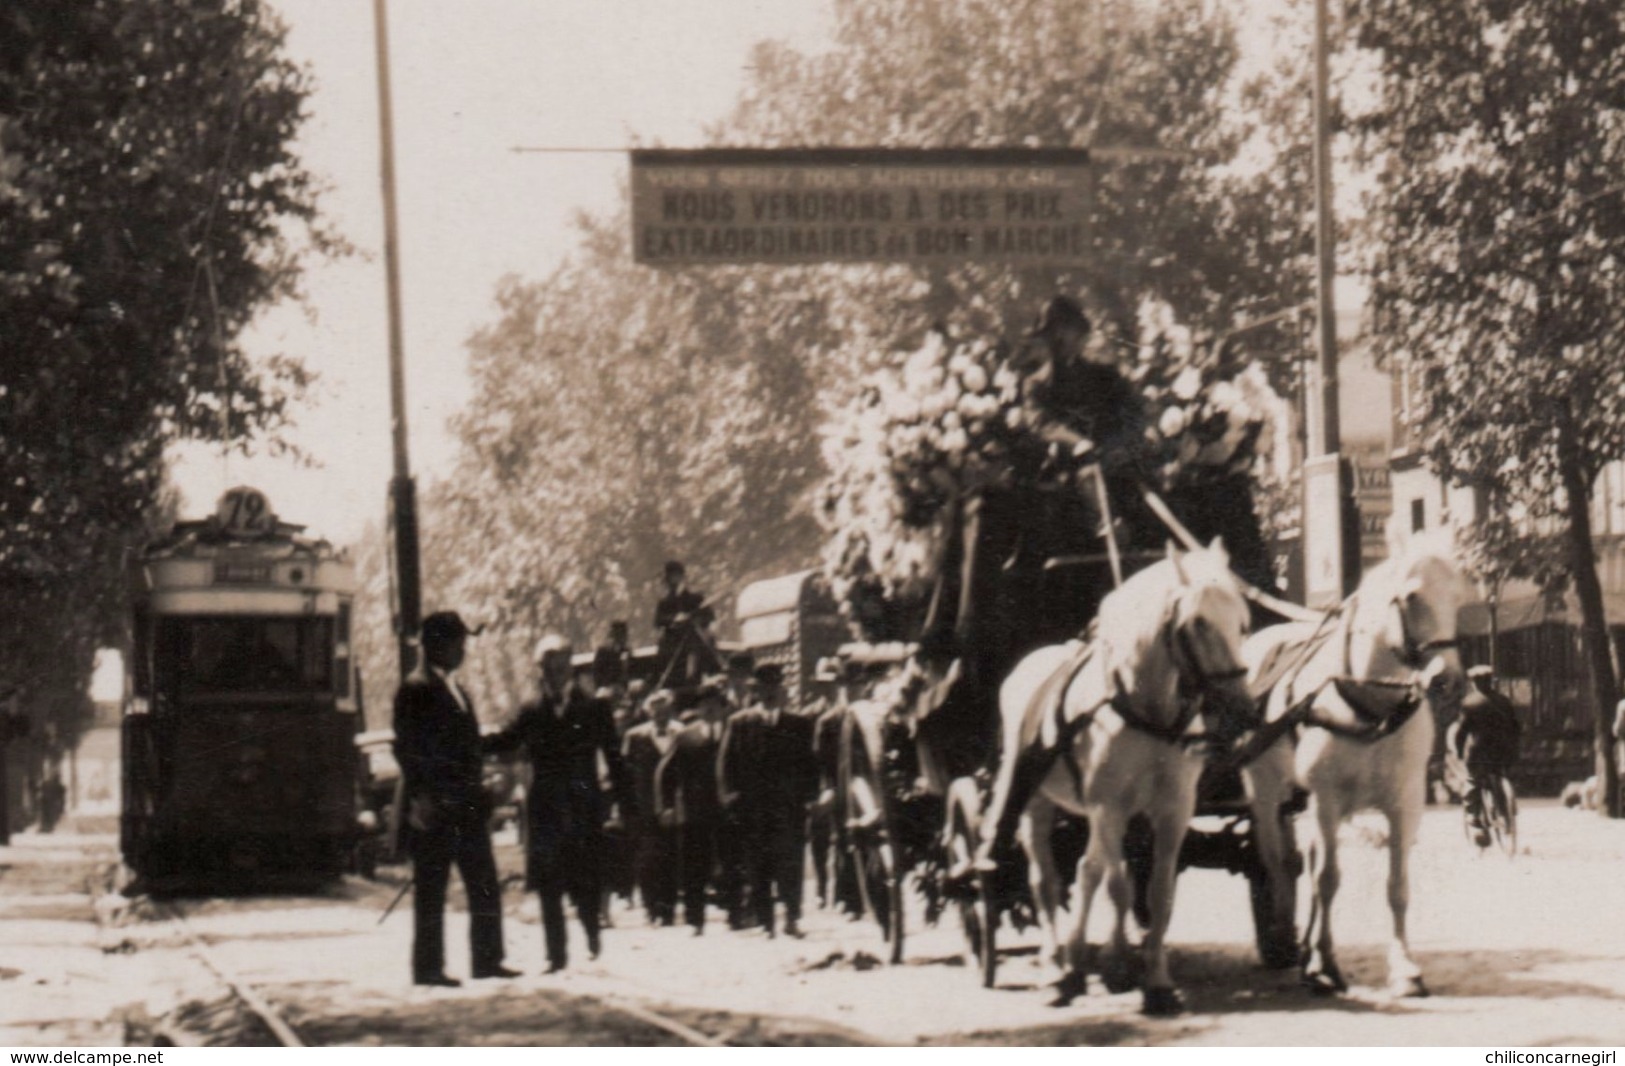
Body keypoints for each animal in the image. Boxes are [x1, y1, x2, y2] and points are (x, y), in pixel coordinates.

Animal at [994, 542, 1248, 1014]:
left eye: (1243, 621)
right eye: (1198, 622)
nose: (1243, 711)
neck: (1143, 708)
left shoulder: (1172, 810)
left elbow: (1158, 893)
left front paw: (1156, 980)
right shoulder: (1108, 807)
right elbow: (1115, 886)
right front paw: (1115, 966)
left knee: (1090, 869)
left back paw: (1077, 959)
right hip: (1037, 804)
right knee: (1046, 881)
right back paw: (1055, 966)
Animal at [1235, 533, 1482, 1001]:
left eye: (1460, 597)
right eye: (1411, 596)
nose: (1448, 681)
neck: (1370, 703)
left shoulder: (1406, 802)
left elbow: (1397, 886)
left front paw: (1404, 967)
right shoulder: (1326, 799)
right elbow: (1328, 879)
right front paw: (1327, 965)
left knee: (1304, 860)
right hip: (1265, 791)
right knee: (1279, 861)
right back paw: (1285, 941)